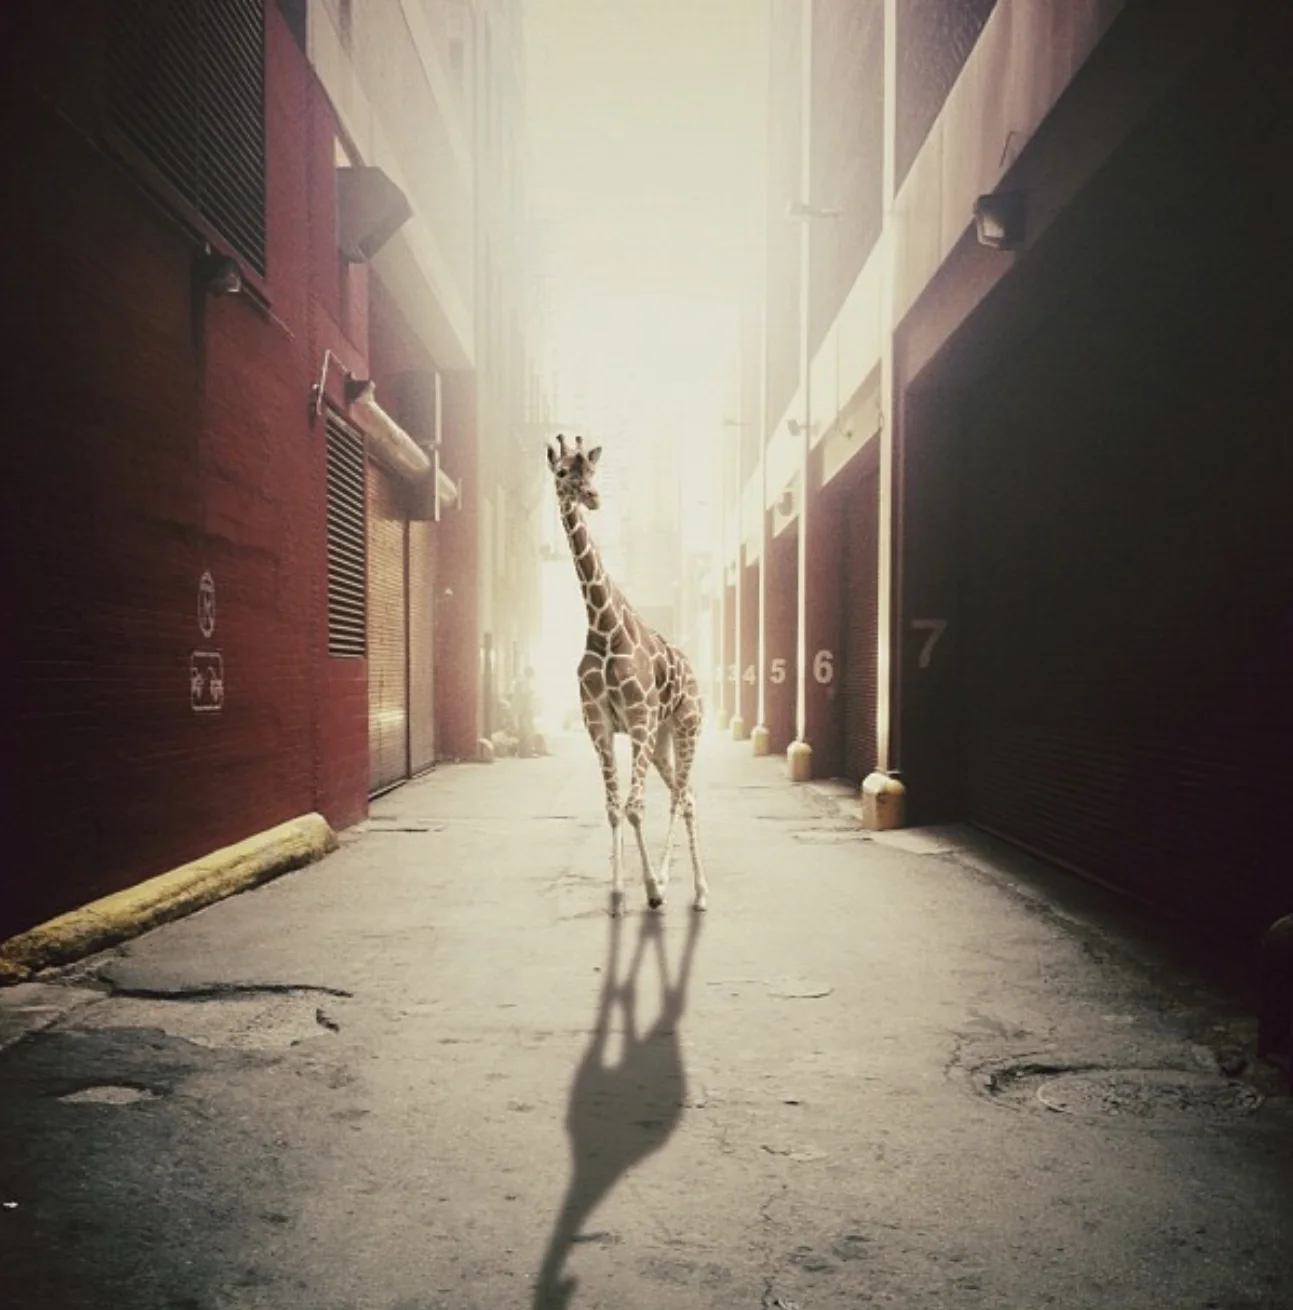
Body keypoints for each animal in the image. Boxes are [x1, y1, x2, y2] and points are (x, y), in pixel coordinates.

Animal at [546, 434, 709, 915]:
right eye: (562, 472)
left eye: (592, 470)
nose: (593, 497)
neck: (604, 625)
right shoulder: (598, 722)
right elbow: (614, 806)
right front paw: (619, 894)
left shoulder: (638, 719)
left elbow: (636, 807)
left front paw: (652, 888)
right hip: (662, 737)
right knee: (684, 794)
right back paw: (686, 884)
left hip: (686, 725)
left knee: (682, 797)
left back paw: (692, 890)